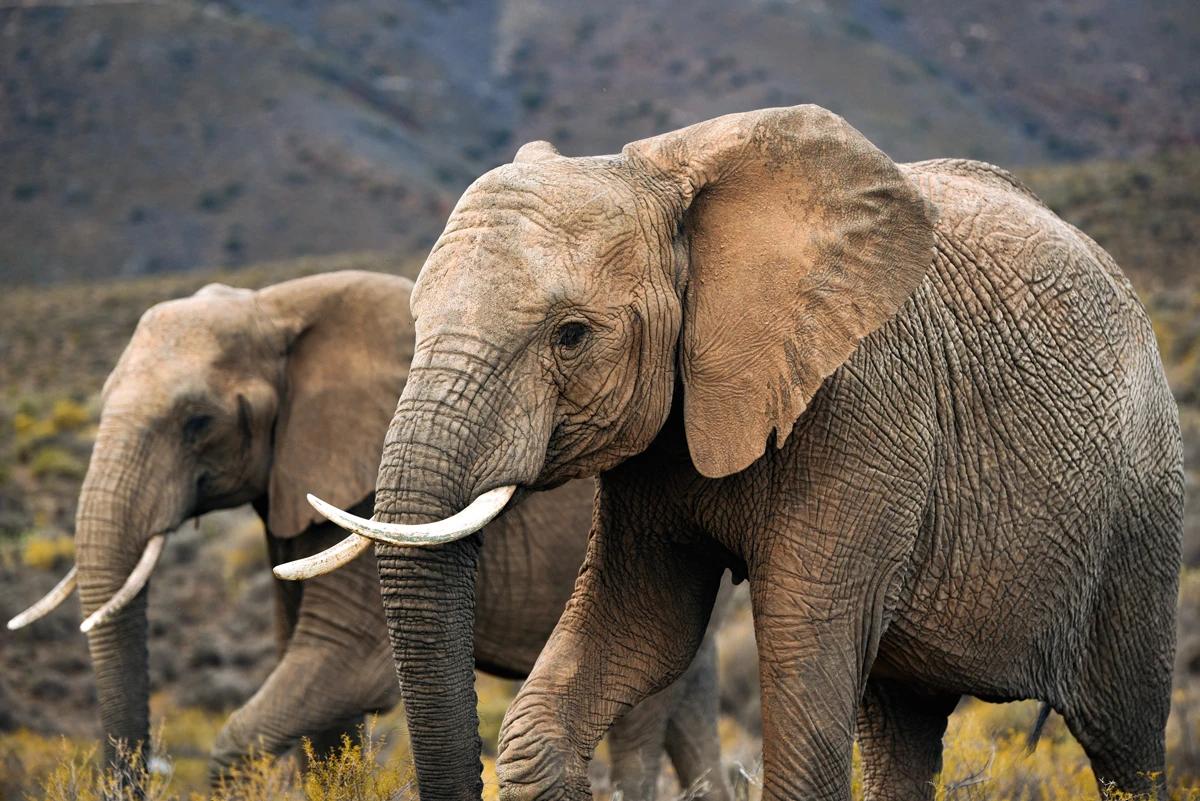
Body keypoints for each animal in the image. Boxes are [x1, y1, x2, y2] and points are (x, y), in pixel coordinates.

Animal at [7, 270, 730, 799]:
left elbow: (343, 665)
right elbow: (318, 695)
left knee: (640, 727)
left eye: (198, 421)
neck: (275, 305)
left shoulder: (357, 480)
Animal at [299, 106, 1184, 801]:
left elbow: (799, 660)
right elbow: (644, 624)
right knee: (903, 726)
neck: (666, 184)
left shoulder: (861, 408)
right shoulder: (659, 442)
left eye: (571, 335)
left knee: (1127, 741)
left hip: (1144, 511)